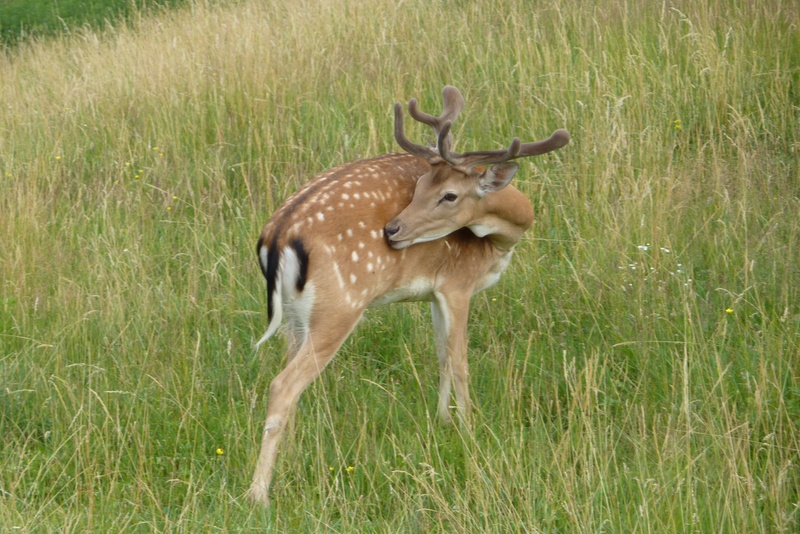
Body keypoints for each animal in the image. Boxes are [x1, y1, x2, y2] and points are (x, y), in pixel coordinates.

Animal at [248, 86, 569, 505]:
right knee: (282, 384)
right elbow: (460, 360)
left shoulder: (433, 292)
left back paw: (292, 454)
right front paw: (469, 429)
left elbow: (442, 356)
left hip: (295, 316)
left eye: (447, 194)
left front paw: (443, 420)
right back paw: (258, 493)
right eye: (419, 188)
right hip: (338, 308)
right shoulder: (458, 284)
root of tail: (277, 236)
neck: (502, 240)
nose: (392, 230)